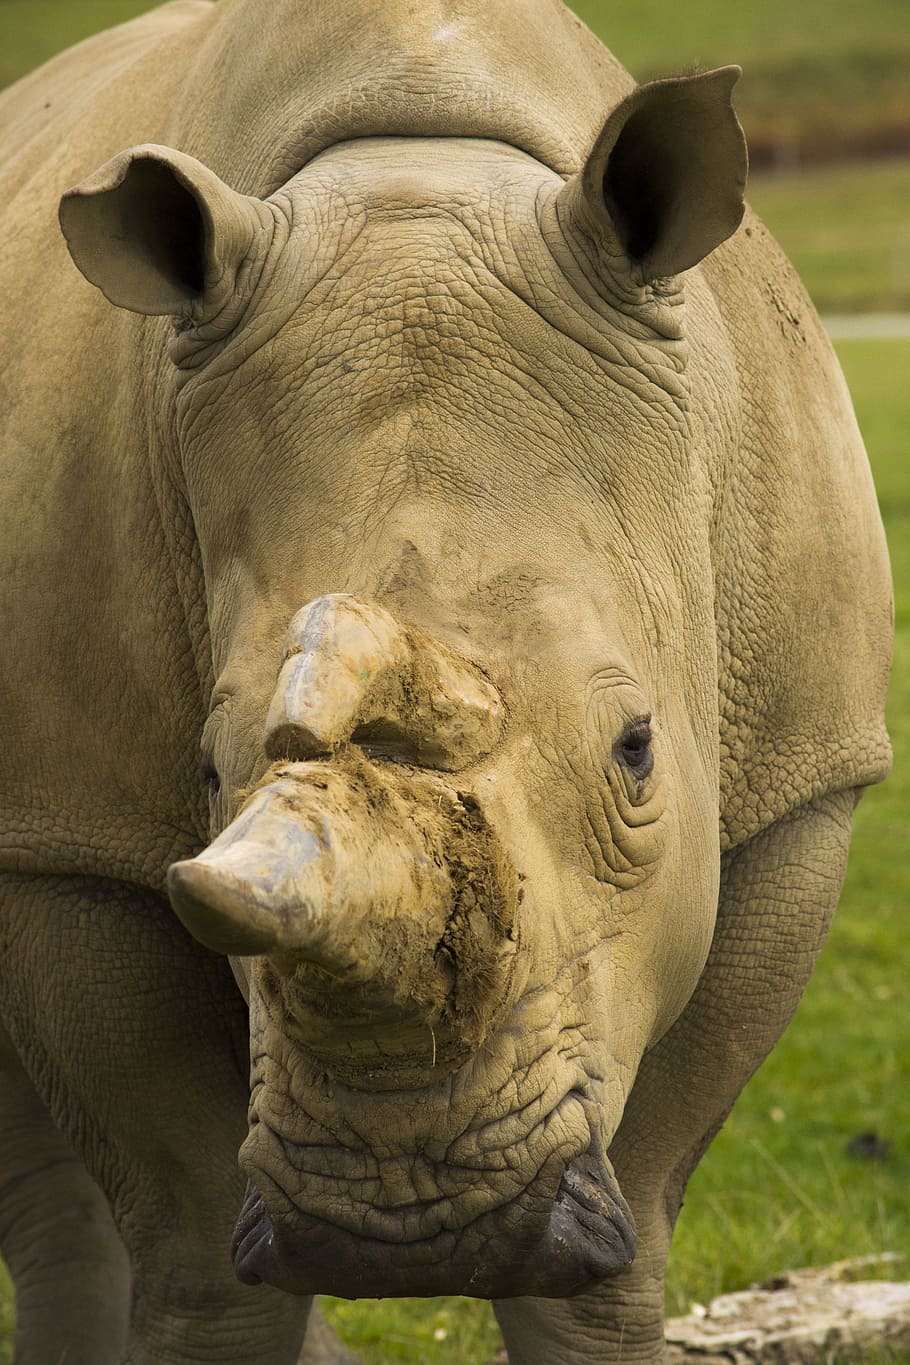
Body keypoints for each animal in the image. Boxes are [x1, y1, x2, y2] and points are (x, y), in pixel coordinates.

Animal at [0, 0, 892, 1361]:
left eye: (638, 749)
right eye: (204, 772)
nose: (405, 1229)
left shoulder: (800, 783)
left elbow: (619, 1234)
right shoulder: (65, 829)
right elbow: (197, 1246)